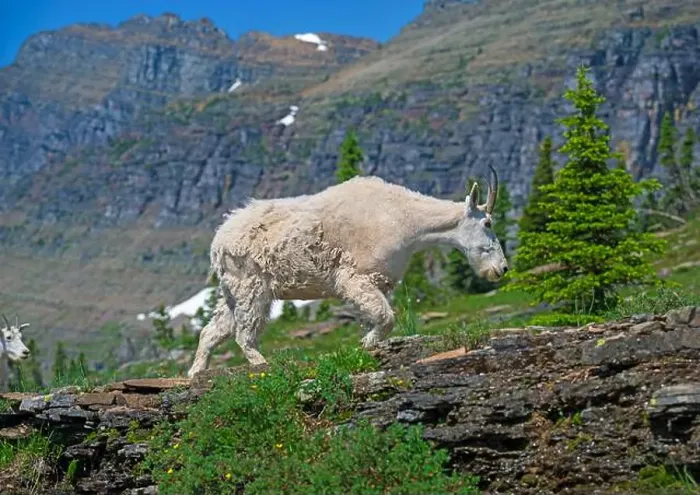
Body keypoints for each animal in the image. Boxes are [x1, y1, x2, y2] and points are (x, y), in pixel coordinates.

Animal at [188, 166, 507, 377]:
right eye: (488, 223)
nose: (501, 269)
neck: (407, 221)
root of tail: (218, 241)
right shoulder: (355, 276)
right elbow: (386, 318)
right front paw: (364, 344)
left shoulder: (378, 280)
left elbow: (373, 317)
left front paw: (366, 343)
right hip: (251, 285)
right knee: (244, 335)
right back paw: (262, 364)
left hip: (232, 290)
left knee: (212, 330)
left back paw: (195, 372)